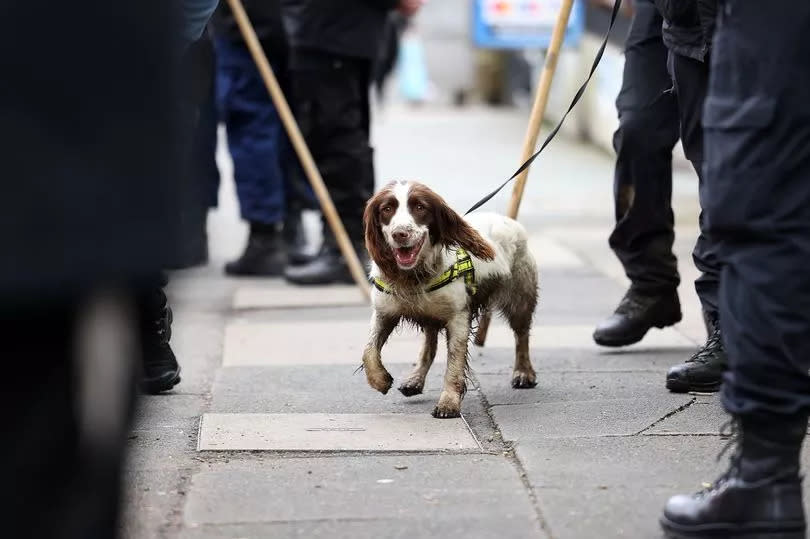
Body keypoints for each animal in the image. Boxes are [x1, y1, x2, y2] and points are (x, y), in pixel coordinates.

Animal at [362, 179, 536, 420]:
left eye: (420, 207)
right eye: (387, 209)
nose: (400, 234)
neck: (414, 277)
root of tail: (509, 220)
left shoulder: (458, 319)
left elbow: (454, 363)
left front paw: (448, 403)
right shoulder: (384, 313)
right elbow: (369, 351)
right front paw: (380, 380)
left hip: (520, 299)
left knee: (522, 336)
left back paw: (523, 373)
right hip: (430, 317)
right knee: (429, 347)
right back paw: (415, 379)